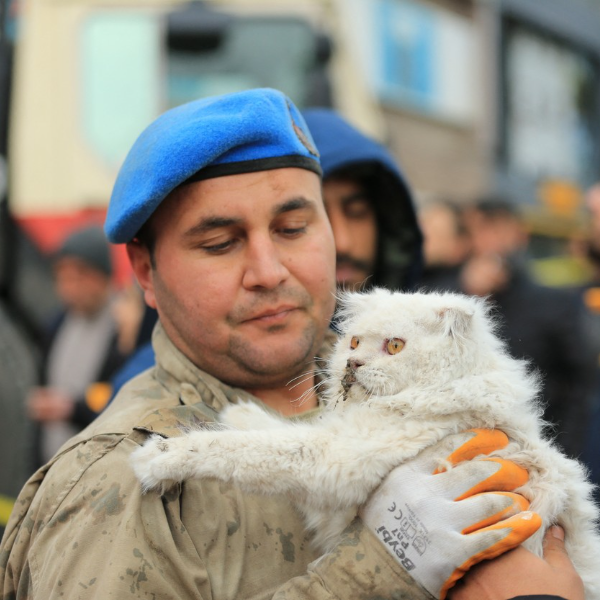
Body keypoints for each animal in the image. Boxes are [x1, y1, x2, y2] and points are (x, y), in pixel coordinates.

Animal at [131, 288, 600, 596]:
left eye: (394, 346)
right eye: (354, 342)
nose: (352, 364)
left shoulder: (334, 461)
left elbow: (240, 449)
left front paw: (157, 458)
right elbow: (271, 429)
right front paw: (238, 412)